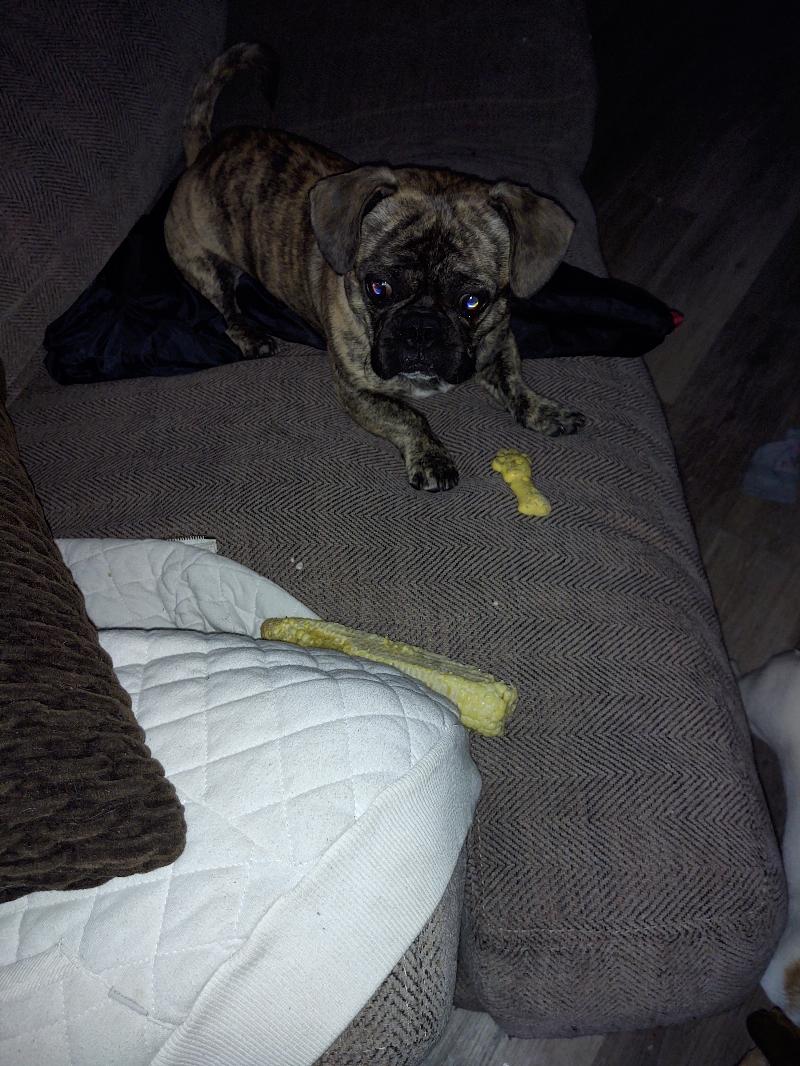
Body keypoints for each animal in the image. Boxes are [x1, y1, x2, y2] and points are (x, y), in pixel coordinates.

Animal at [165, 43, 586, 491]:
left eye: (473, 301)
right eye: (378, 288)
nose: (421, 330)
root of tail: (203, 154)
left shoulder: (498, 341)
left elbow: (515, 383)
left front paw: (546, 411)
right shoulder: (356, 391)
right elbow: (408, 415)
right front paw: (431, 458)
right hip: (207, 267)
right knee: (227, 308)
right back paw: (250, 334)